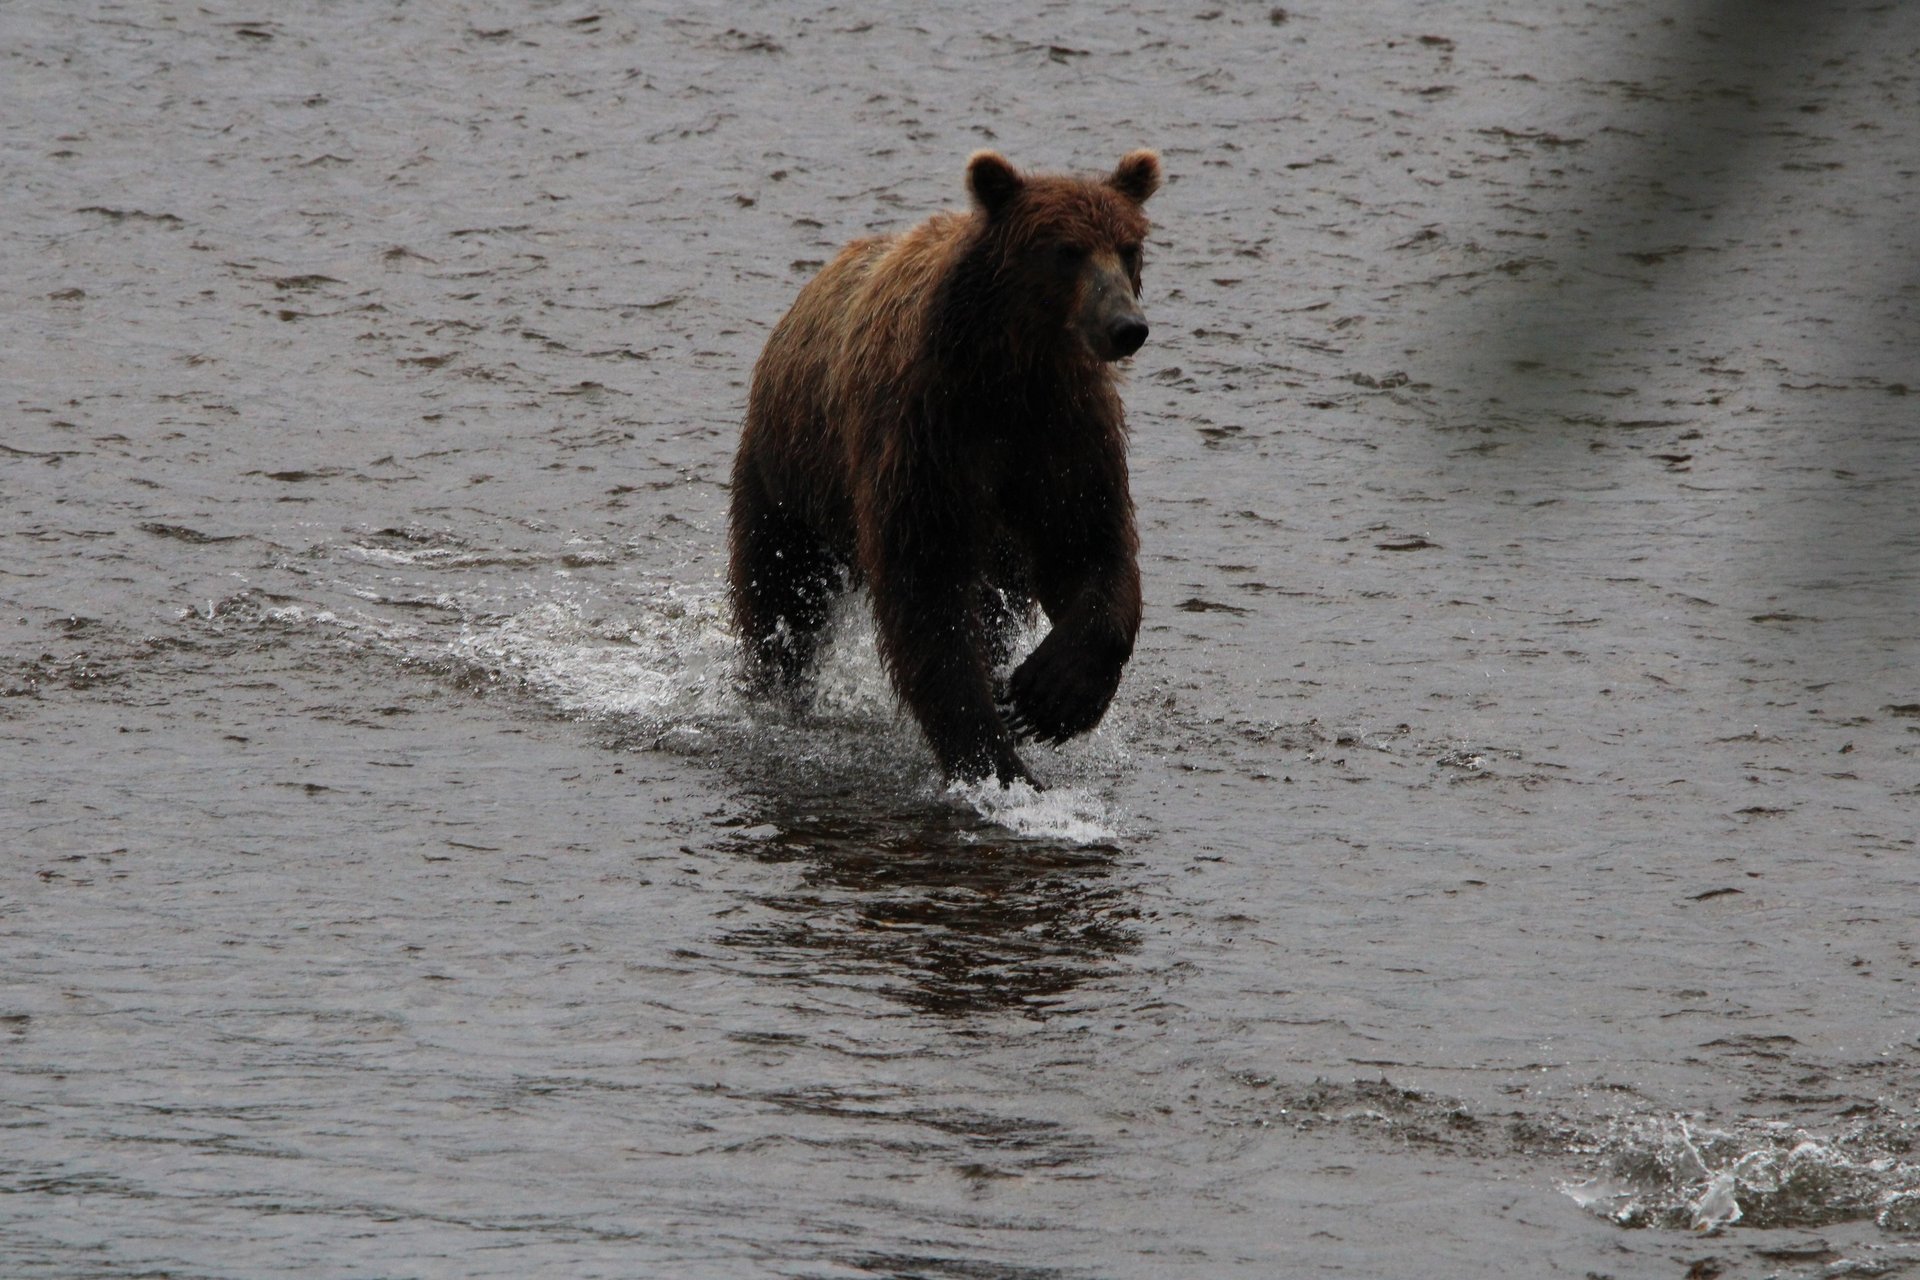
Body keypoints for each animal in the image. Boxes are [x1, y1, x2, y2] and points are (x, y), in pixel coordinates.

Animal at [728, 148, 1161, 787]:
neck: (1009, 372)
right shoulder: (926, 438)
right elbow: (928, 597)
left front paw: (1049, 695)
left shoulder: (1063, 434)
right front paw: (995, 756)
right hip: (789, 477)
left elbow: (1090, 548)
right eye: (1067, 250)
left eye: (1128, 247)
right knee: (782, 598)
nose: (1126, 326)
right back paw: (772, 689)